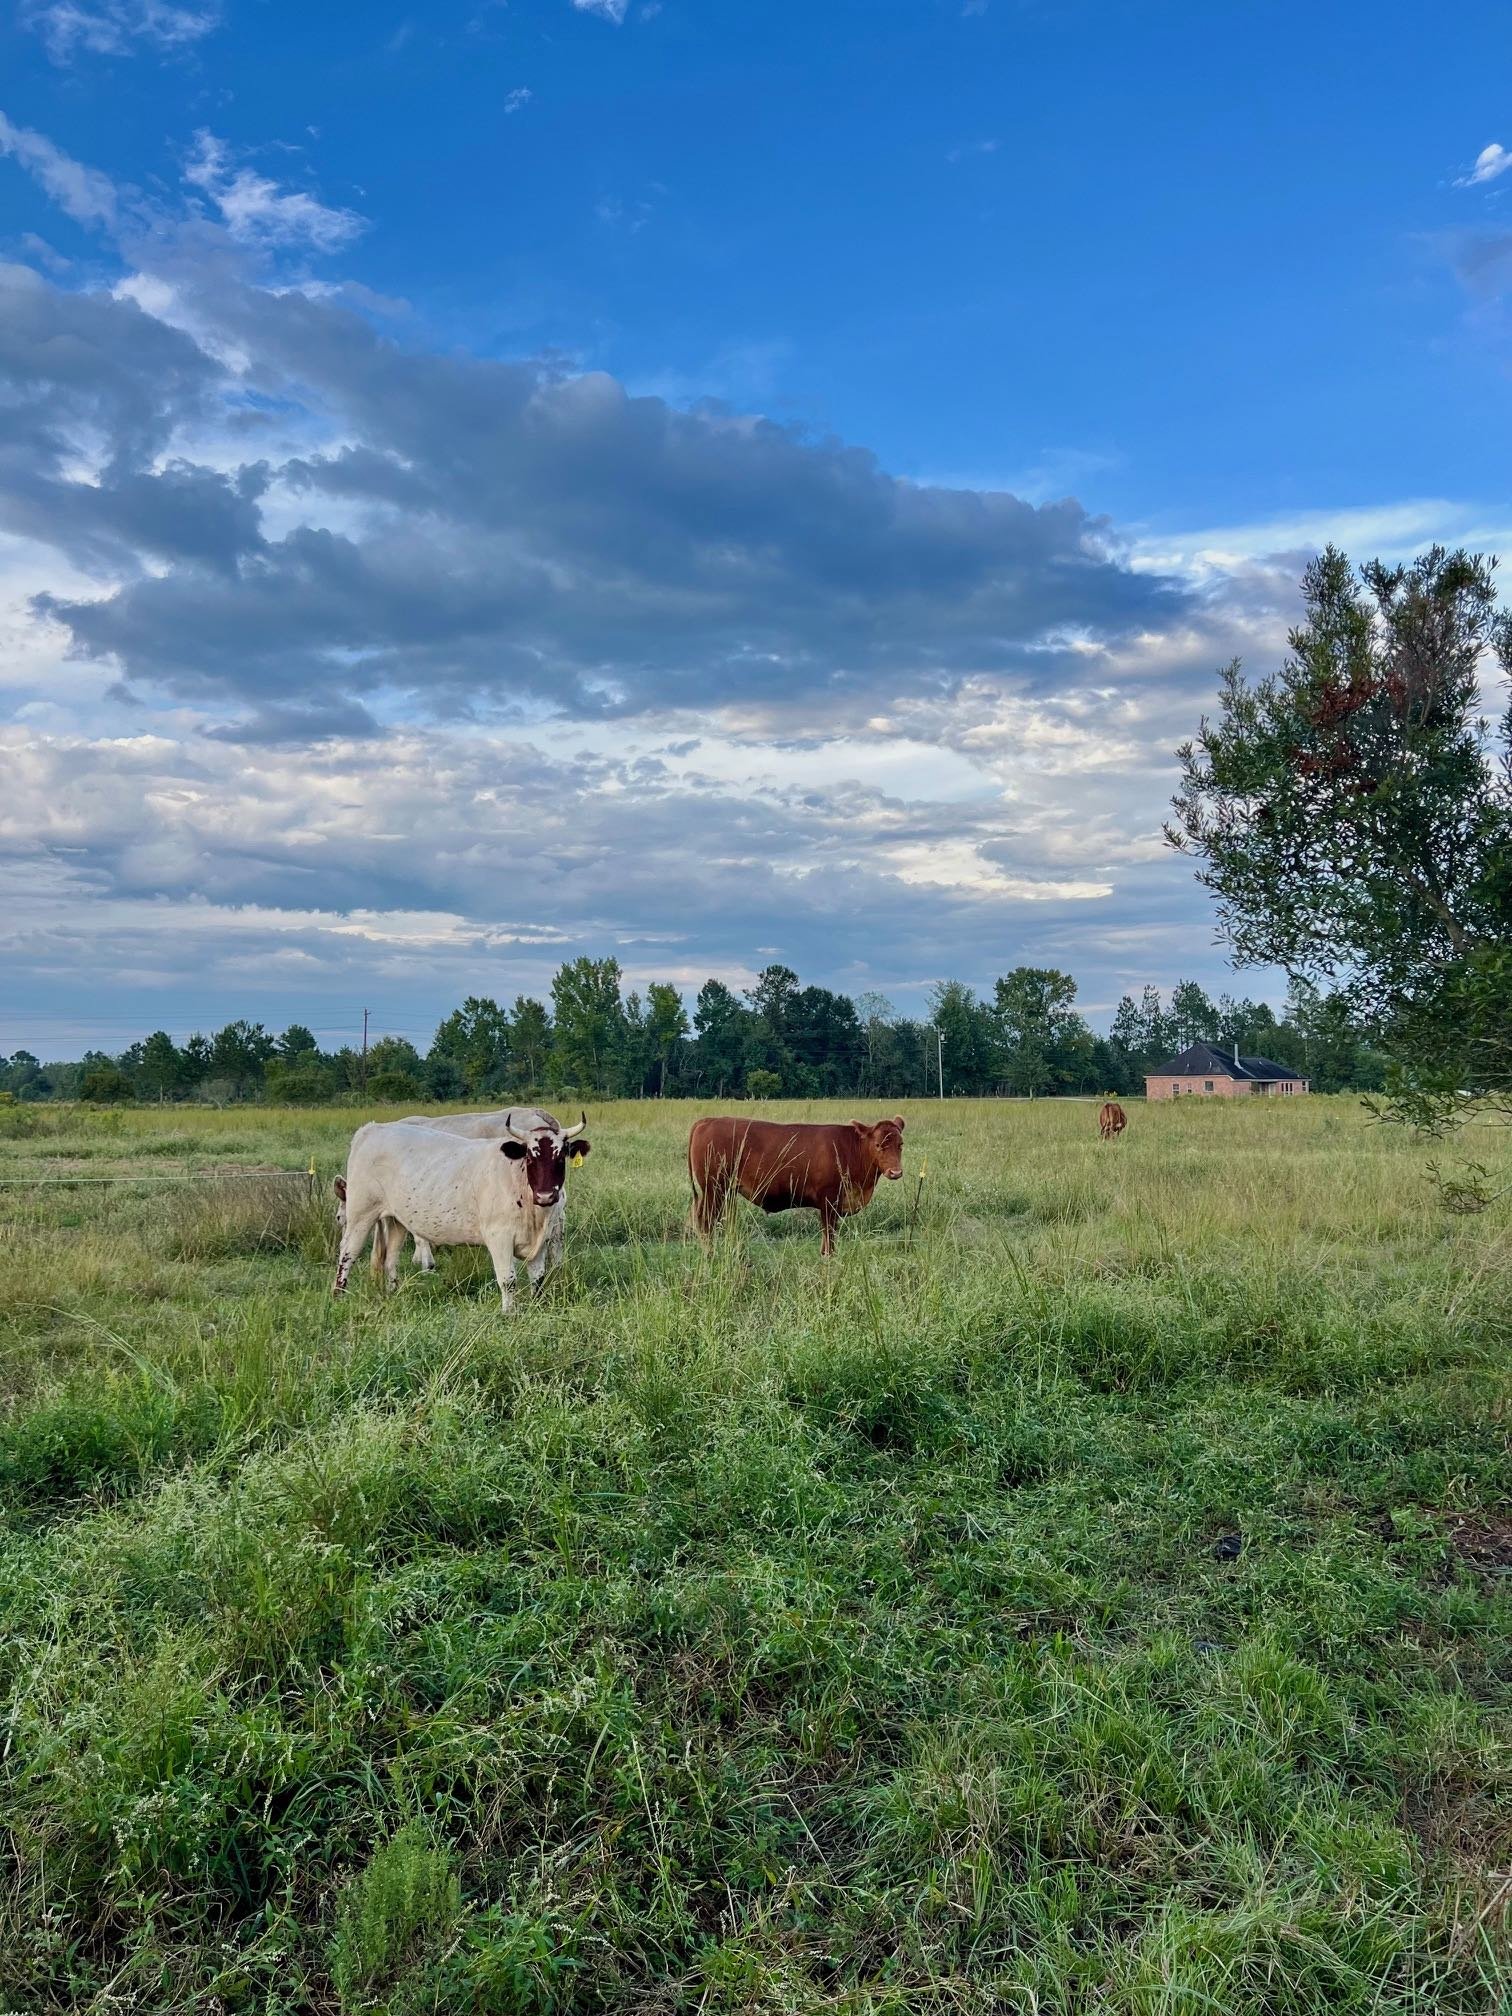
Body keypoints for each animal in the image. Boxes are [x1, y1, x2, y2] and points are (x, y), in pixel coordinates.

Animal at [332, 1112, 590, 1306]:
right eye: (529, 1157)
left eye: (561, 1156)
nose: (546, 1196)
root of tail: (372, 1129)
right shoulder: (499, 1237)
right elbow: (508, 1280)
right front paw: (510, 1314)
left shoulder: (540, 1242)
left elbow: (537, 1279)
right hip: (361, 1214)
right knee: (348, 1252)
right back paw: (338, 1296)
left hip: (397, 1220)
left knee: (390, 1258)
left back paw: (393, 1292)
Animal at [688, 1114, 905, 1257]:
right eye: (878, 1144)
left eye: (900, 1144)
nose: (895, 1172)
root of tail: (708, 1120)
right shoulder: (829, 1202)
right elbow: (829, 1235)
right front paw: (829, 1257)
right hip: (713, 1188)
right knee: (706, 1220)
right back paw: (710, 1254)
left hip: (726, 1191)